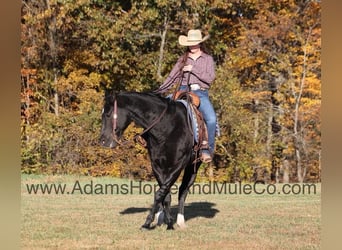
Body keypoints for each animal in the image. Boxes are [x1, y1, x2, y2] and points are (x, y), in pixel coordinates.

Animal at [99, 91, 202, 229]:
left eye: (108, 113)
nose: (102, 141)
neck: (167, 126)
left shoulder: (178, 165)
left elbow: (160, 193)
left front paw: (147, 222)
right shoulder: (157, 166)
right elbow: (165, 194)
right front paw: (168, 222)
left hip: (193, 167)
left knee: (183, 191)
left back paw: (181, 221)